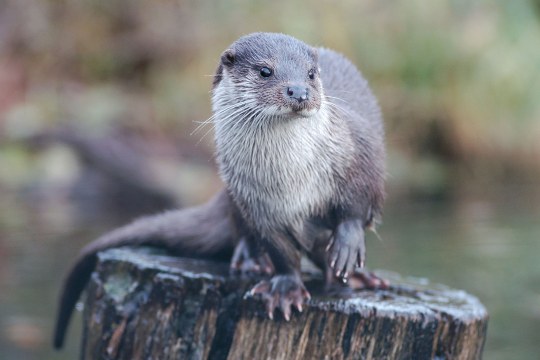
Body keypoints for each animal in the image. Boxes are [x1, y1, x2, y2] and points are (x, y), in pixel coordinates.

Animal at [52, 33, 386, 348]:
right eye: (265, 71)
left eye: (312, 73)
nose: (299, 91)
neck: (291, 182)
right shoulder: (255, 203)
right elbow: (280, 250)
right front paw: (285, 288)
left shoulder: (356, 154)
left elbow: (358, 204)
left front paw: (347, 243)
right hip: (232, 197)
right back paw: (252, 260)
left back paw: (358, 276)